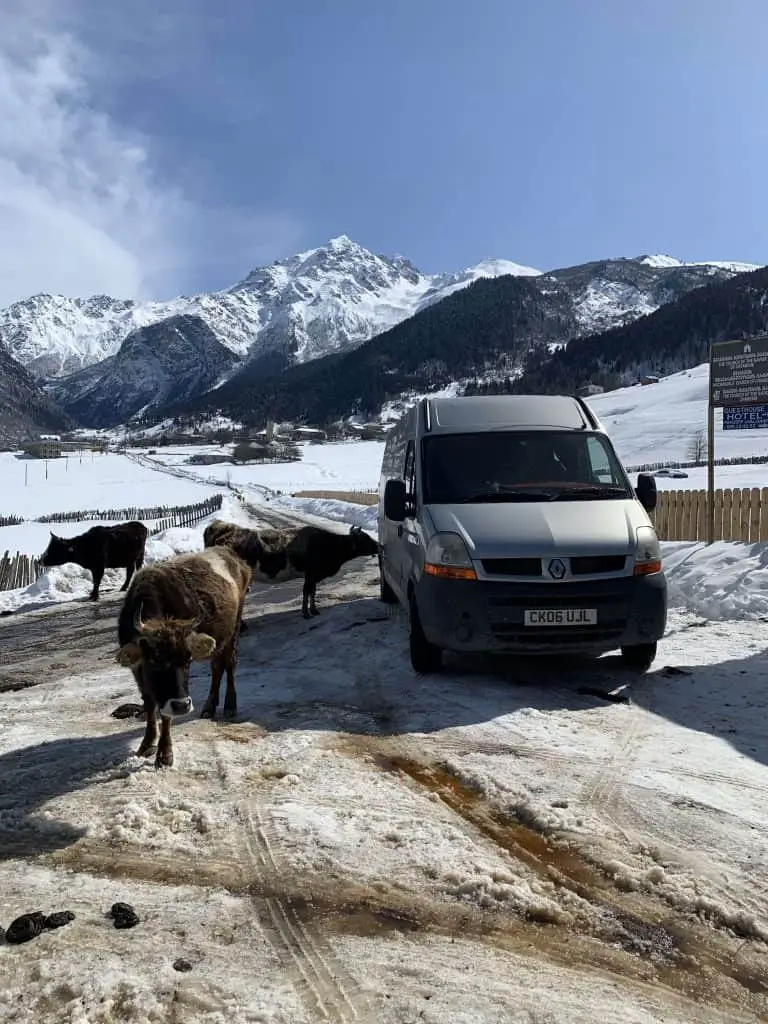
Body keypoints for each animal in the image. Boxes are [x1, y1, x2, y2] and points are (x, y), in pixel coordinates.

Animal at [115, 548, 252, 765]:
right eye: (154, 660)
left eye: (188, 660)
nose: (182, 705)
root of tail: (231, 554)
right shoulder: (137, 669)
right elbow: (149, 703)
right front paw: (147, 744)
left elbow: (165, 714)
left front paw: (165, 754)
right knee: (217, 667)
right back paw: (209, 707)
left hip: (234, 630)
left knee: (229, 664)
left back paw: (230, 705)